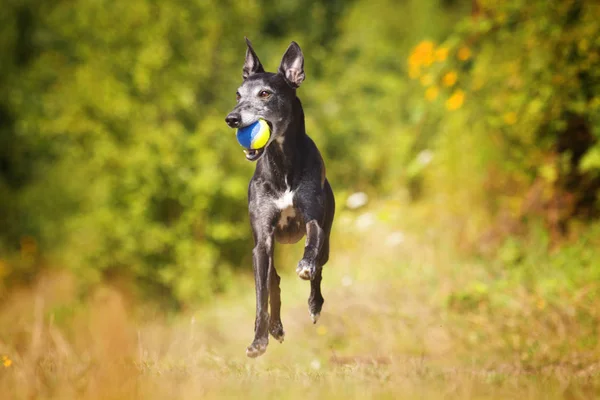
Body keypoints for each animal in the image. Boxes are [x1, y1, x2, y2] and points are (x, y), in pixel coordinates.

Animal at [225, 39, 336, 358]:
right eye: (237, 94)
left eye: (265, 93)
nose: (231, 119)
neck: (282, 163)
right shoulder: (261, 241)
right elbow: (262, 294)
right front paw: (258, 340)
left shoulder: (314, 219)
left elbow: (312, 249)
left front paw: (305, 267)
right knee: (273, 281)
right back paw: (275, 328)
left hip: (328, 235)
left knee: (319, 267)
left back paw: (314, 305)